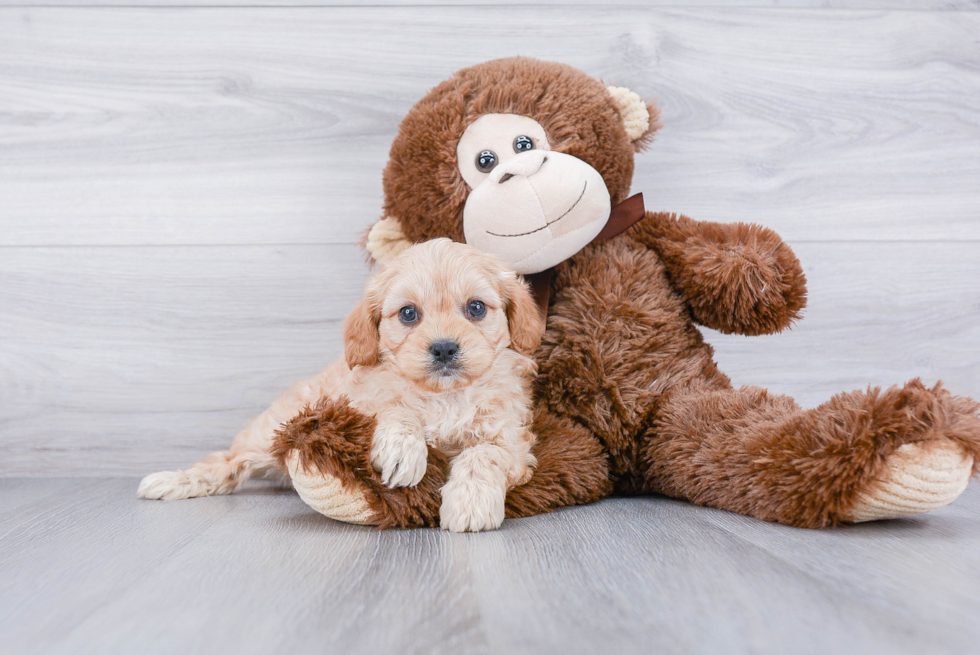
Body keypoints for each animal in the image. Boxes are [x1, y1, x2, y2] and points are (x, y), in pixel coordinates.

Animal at [136, 240, 544, 532]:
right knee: (228, 460)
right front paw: (403, 450)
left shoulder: (511, 440)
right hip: (270, 435)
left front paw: (469, 502)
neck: (444, 395)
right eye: (408, 313)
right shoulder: (358, 402)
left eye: (476, 308)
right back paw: (173, 480)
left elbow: (483, 455)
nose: (443, 348)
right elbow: (395, 409)